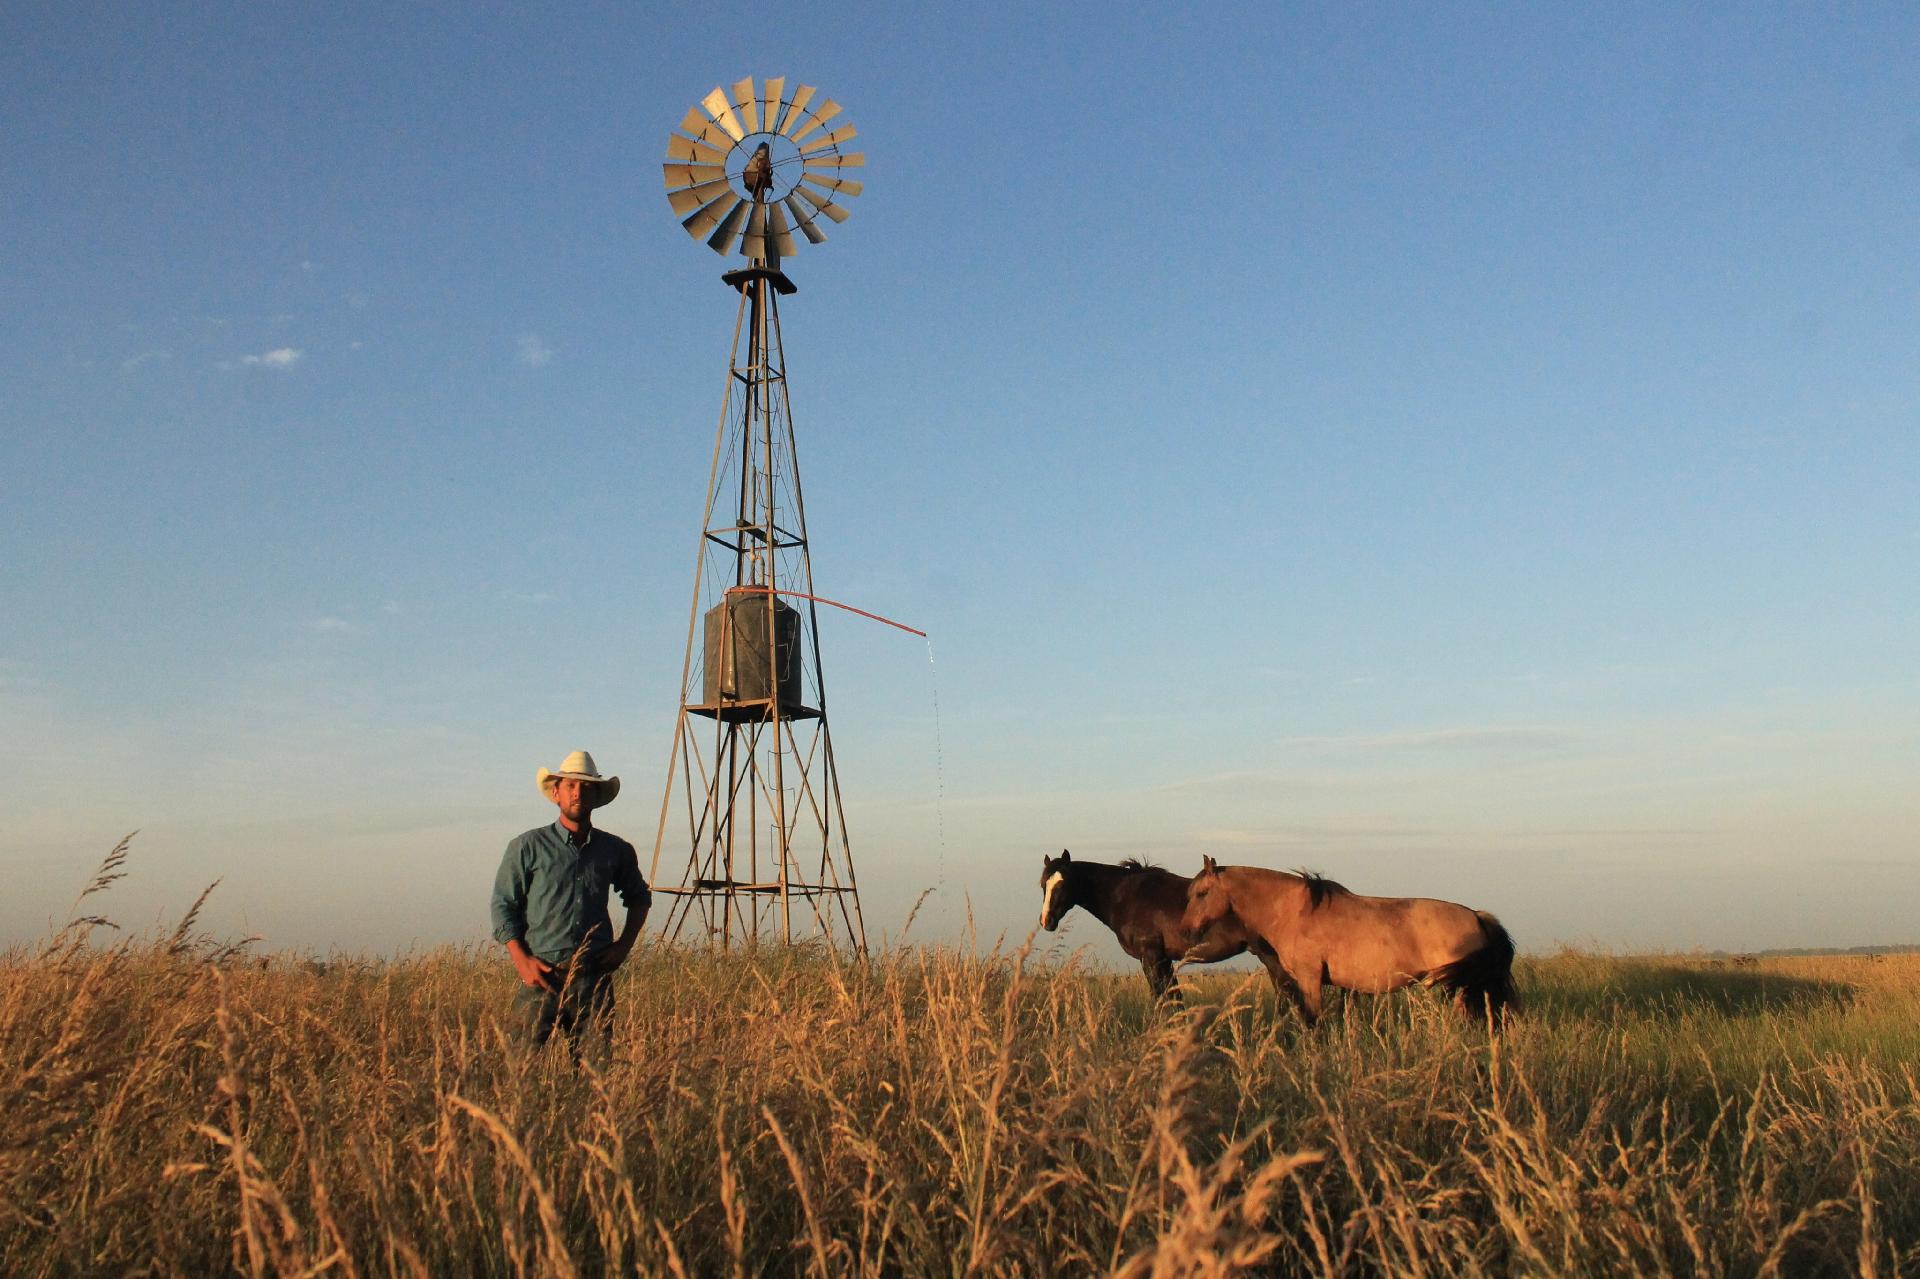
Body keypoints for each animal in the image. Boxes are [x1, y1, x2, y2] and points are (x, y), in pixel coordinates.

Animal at [1044, 852, 1251, 998]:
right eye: (1043, 885)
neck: (1127, 897)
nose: (1046, 921)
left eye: (1062, 885)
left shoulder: (1151, 957)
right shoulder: (1164, 959)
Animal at [1167, 852, 1512, 1021]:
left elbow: (1315, 1021)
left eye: (1201, 893)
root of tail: (1476, 916)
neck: (1294, 913)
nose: (1185, 931)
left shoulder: (1310, 980)